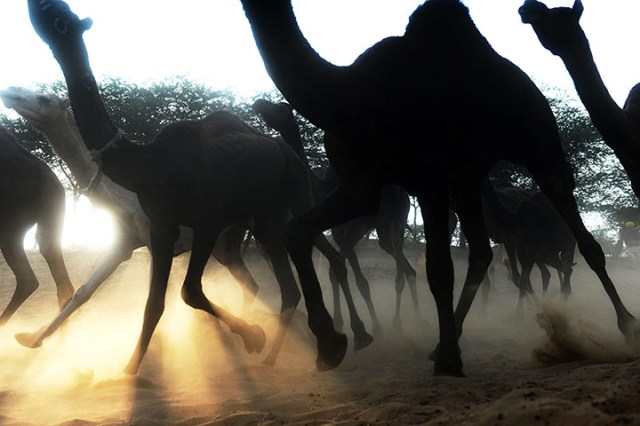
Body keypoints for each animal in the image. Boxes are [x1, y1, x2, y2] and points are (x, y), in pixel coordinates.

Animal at [27, 0, 375, 373]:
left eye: (58, 18)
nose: (36, 5)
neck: (149, 164)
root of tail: (286, 151)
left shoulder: (207, 221)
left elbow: (189, 291)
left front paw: (253, 336)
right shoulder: (161, 227)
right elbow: (154, 302)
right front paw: (130, 369)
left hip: (293, 194)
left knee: (309, 258)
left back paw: (328, 344)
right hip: (264, 219)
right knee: (287, 283)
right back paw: (280, 355)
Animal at [252, 99, 418, 334]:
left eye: (278, 108)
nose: (258, 102)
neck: (325, 188)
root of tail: (403, 192)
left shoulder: (357, 226)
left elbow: (339, 269)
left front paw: (371, 326)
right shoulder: (339, 231)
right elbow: (351, 277)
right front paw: (345, 322)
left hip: (399, 217)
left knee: (399, 271)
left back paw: (400, 324)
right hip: (383, 228)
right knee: (403, 263)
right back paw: (419, 320)